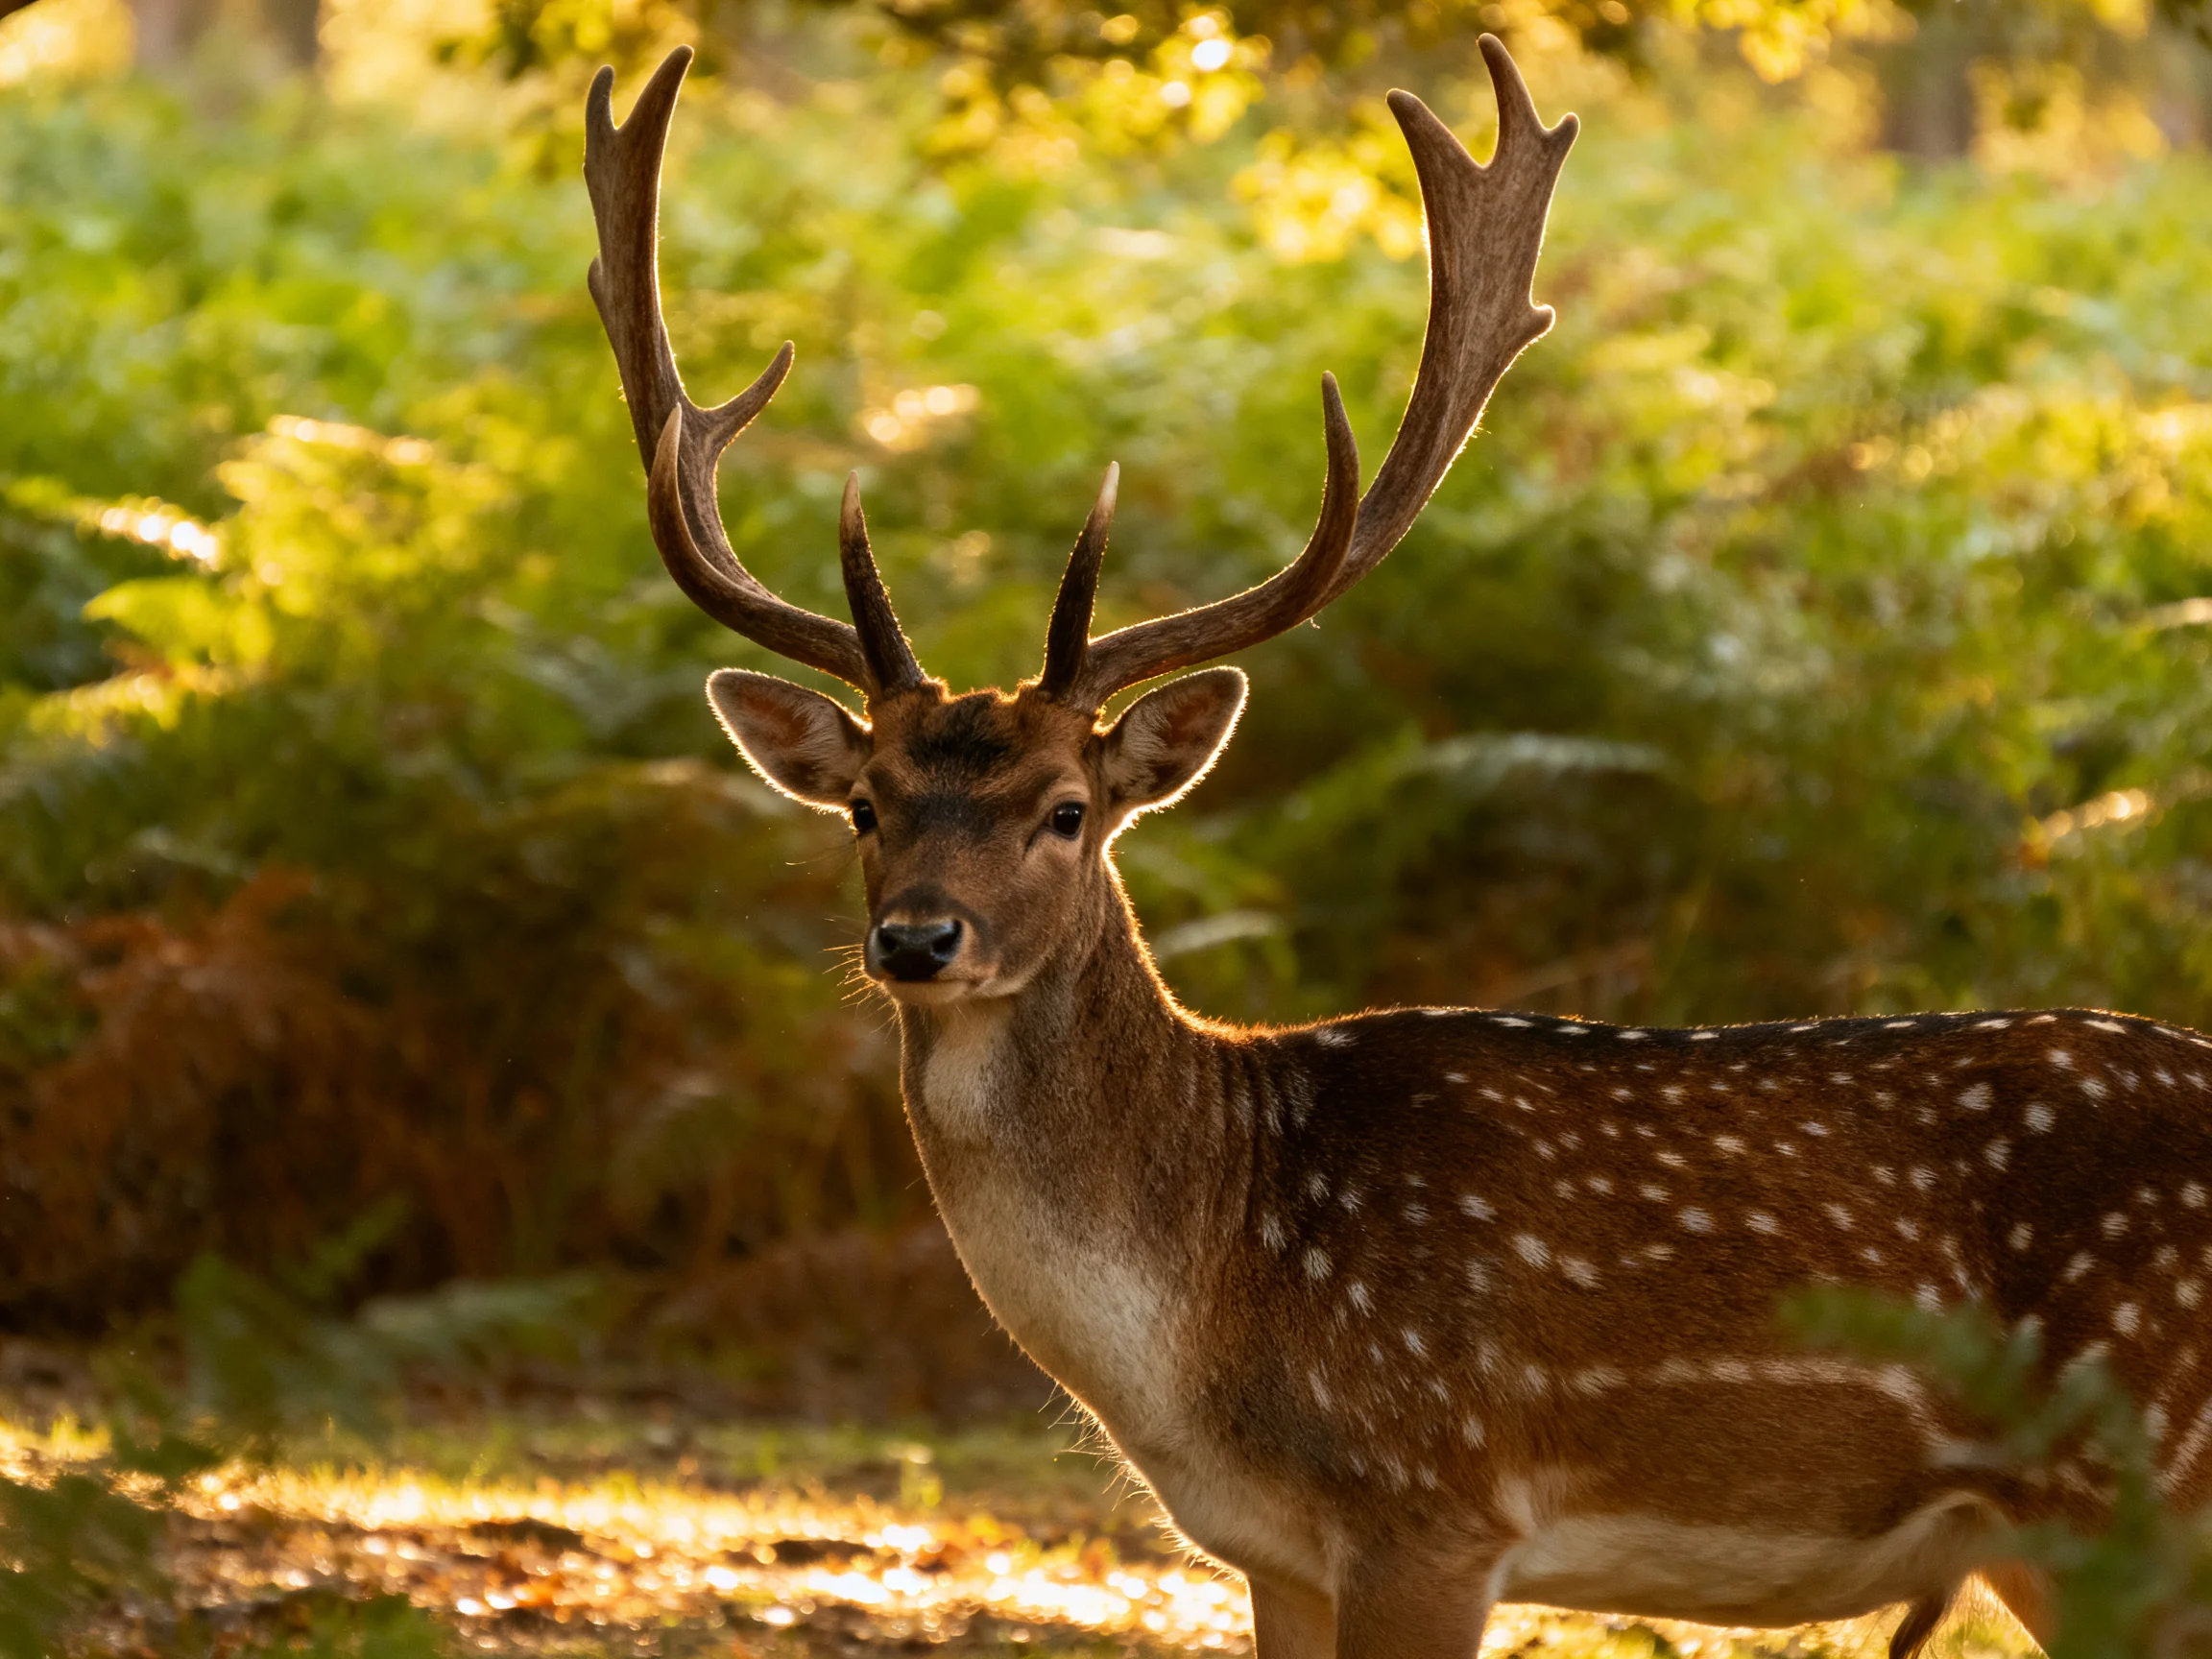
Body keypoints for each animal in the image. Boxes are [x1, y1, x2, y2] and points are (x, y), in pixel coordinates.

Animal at [583, 39, 2212, 1659]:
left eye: (1066, 808)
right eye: (866, 802)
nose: (918, 939)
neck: (1207, 1327)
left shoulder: (1430, 1504)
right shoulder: (1277, 1553)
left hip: (2130, 1492)